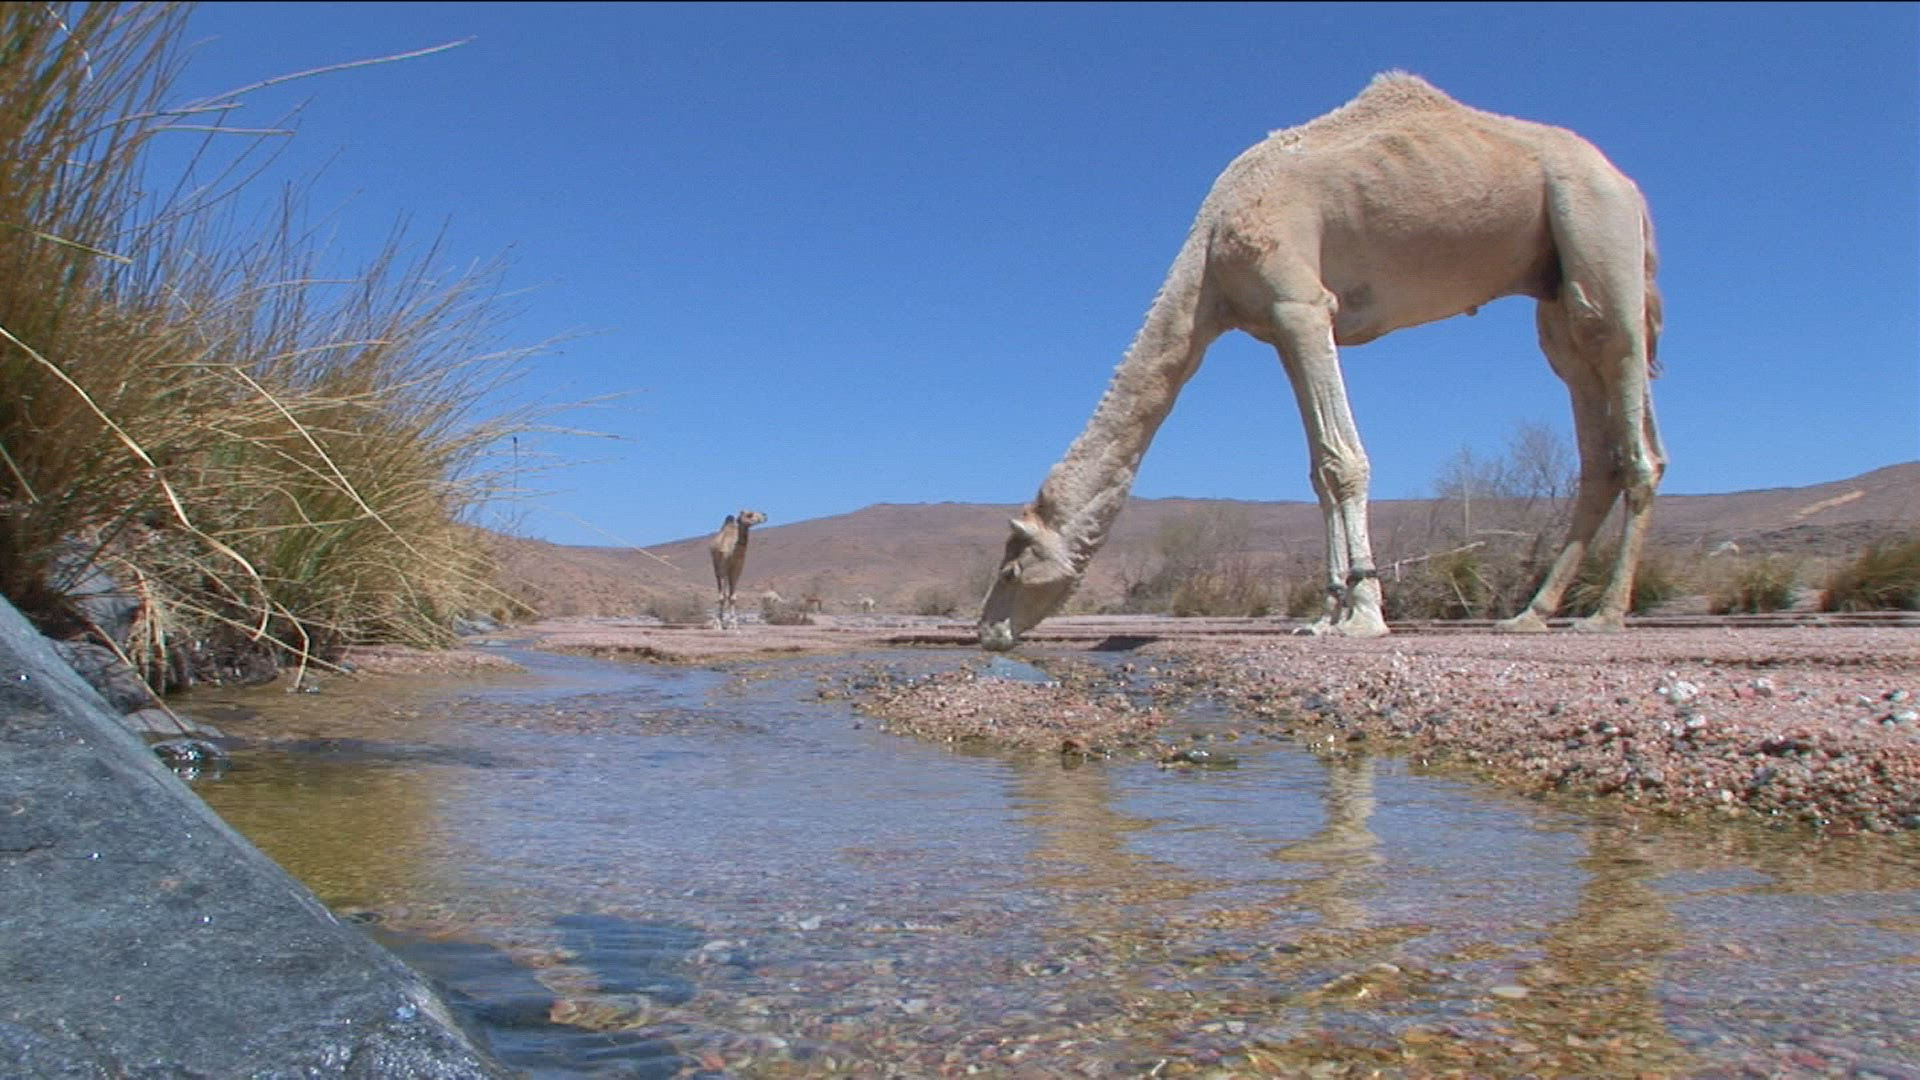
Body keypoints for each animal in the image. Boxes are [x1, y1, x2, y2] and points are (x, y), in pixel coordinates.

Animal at [979, 72, 1664, 650]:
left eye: (1013, 565)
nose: (988, 632)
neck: (1209, 262)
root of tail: (1629, 185)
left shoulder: (1301, 304)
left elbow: (1341, 461)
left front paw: (1361, 617)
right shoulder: (1277, 322)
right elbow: (1316, 470)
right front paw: (1327, 612)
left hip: (1598, 240)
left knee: (1629, 403)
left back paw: (1604, 614)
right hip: (1554, 291)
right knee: (1591, 427)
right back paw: (1532, 614)